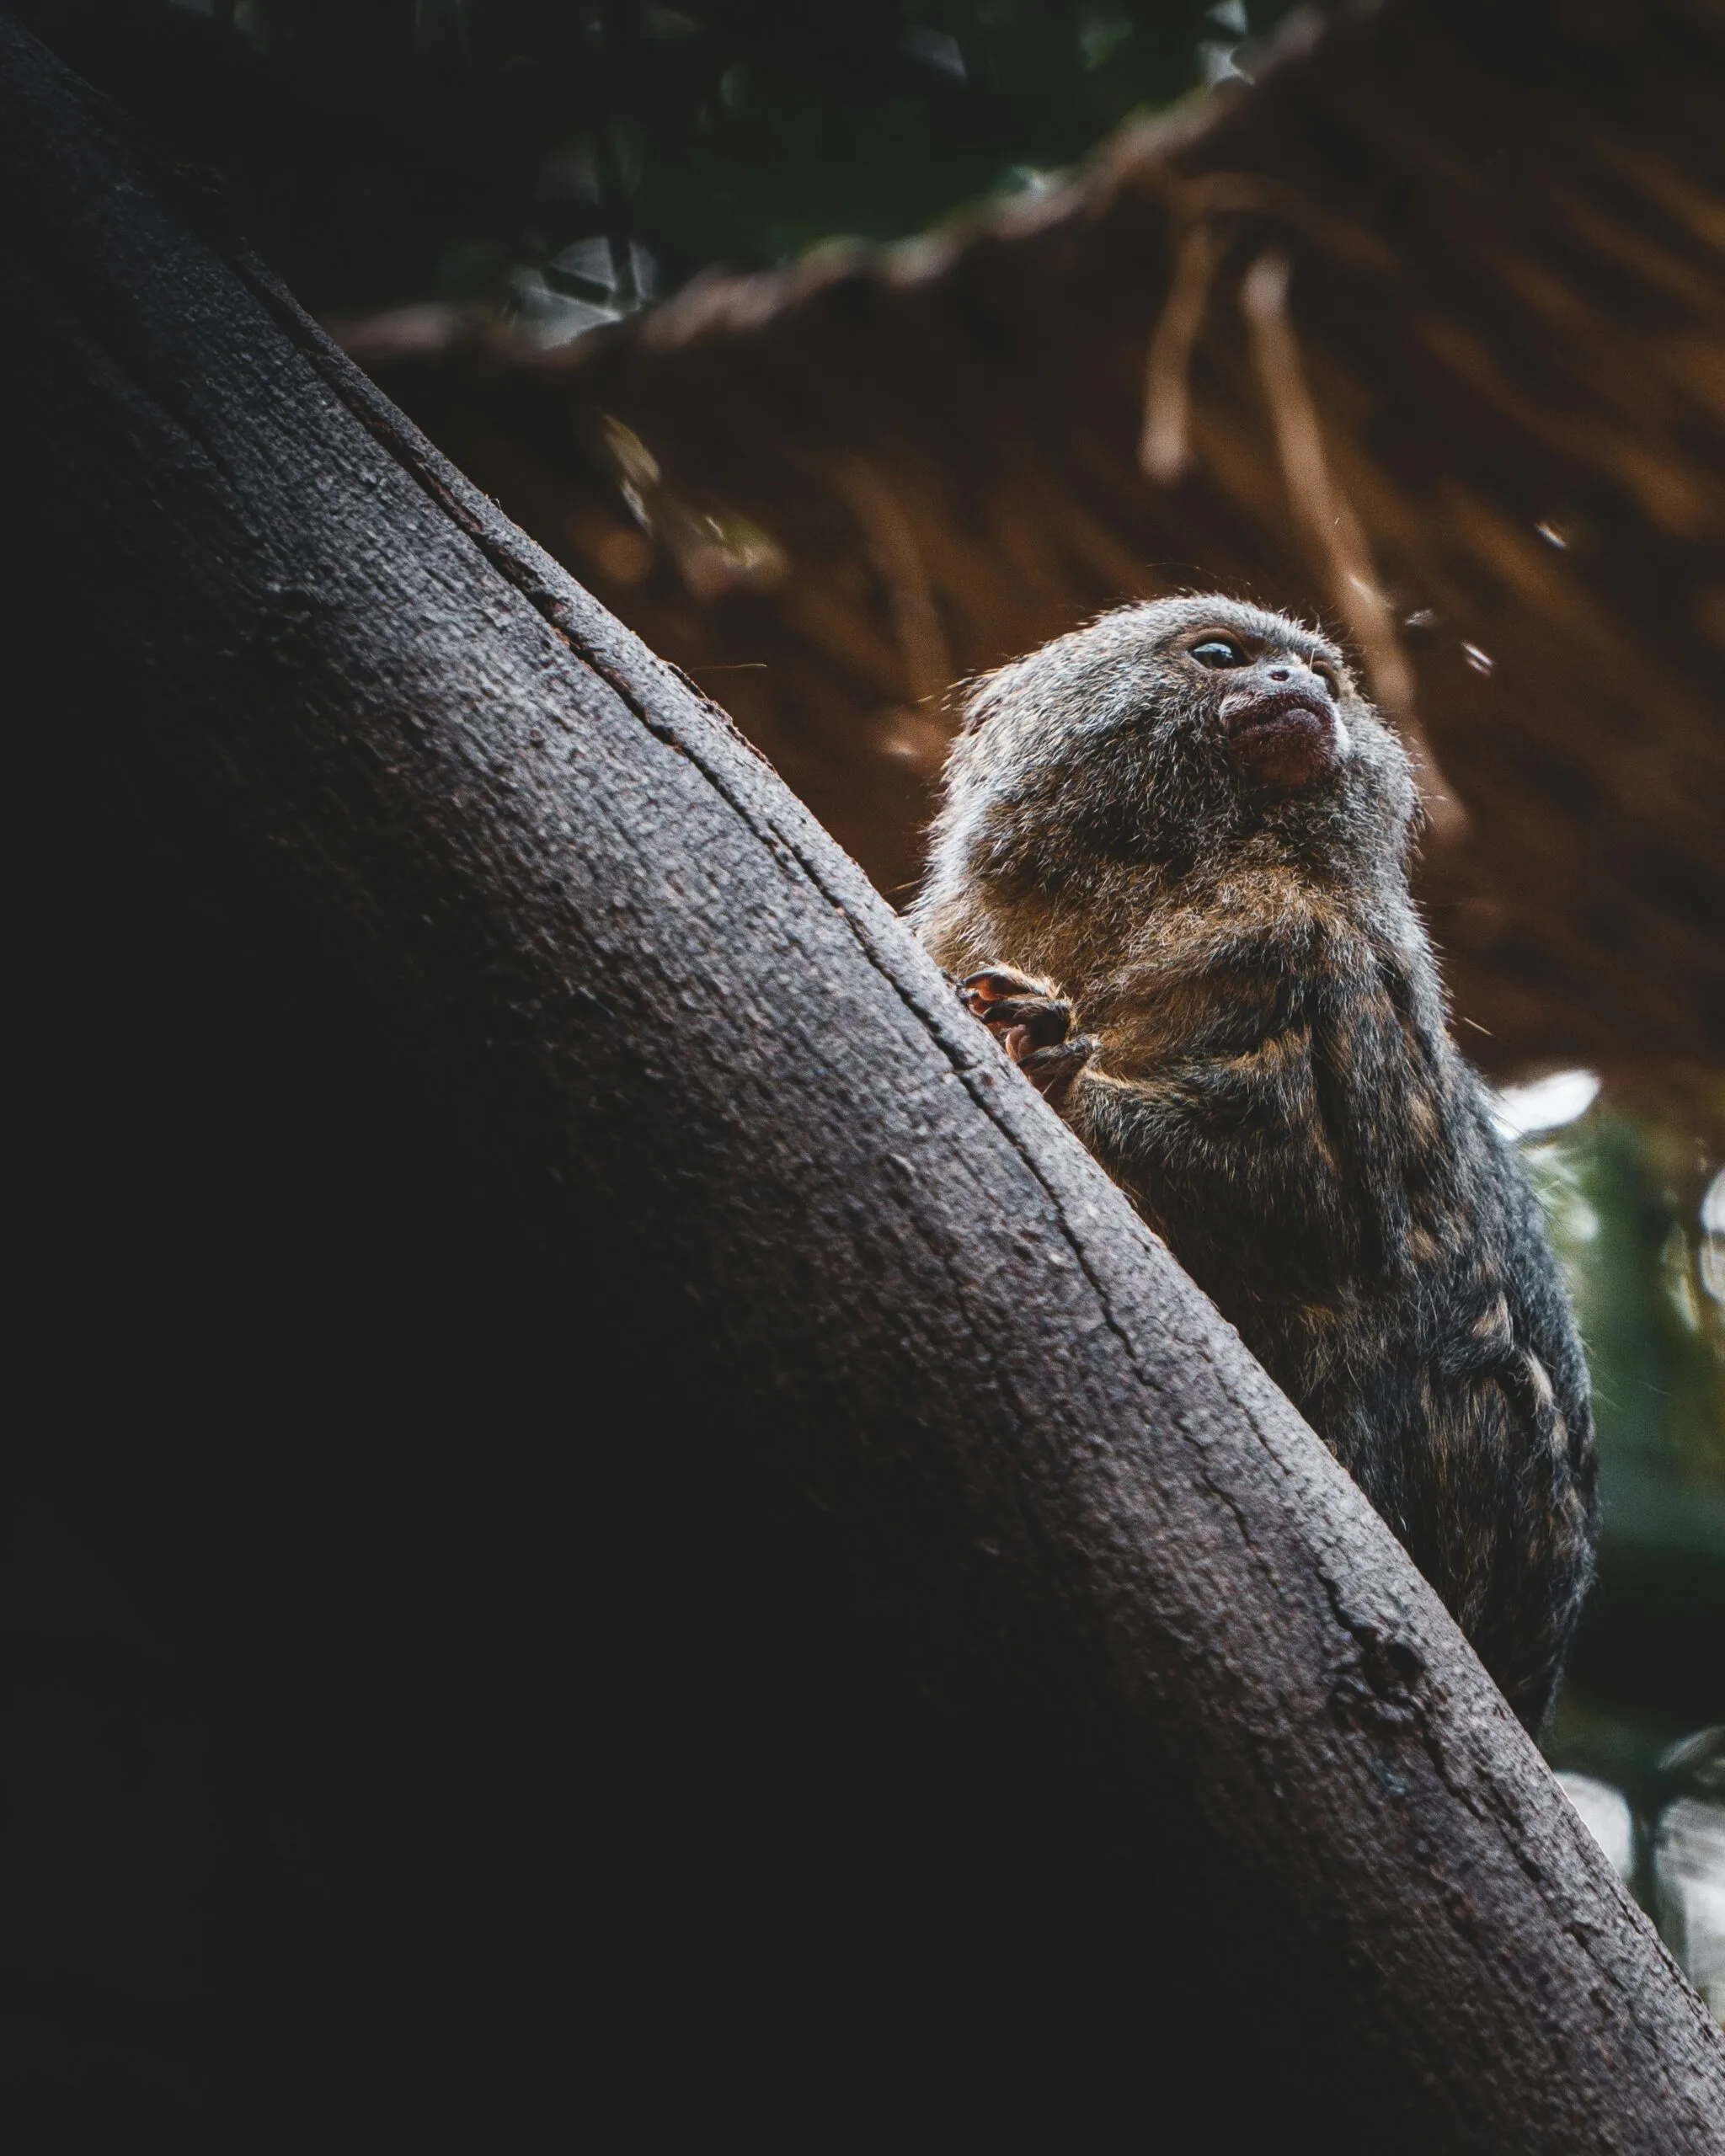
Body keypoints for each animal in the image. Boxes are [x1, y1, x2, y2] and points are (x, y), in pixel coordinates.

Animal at [911, 596, 1598, 1735]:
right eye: (1222, 655)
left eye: (1322, 673)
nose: (1299, 685)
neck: (1162, 876)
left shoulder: (1314, 950)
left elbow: (1309, 1201)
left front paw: (1051, 1064)